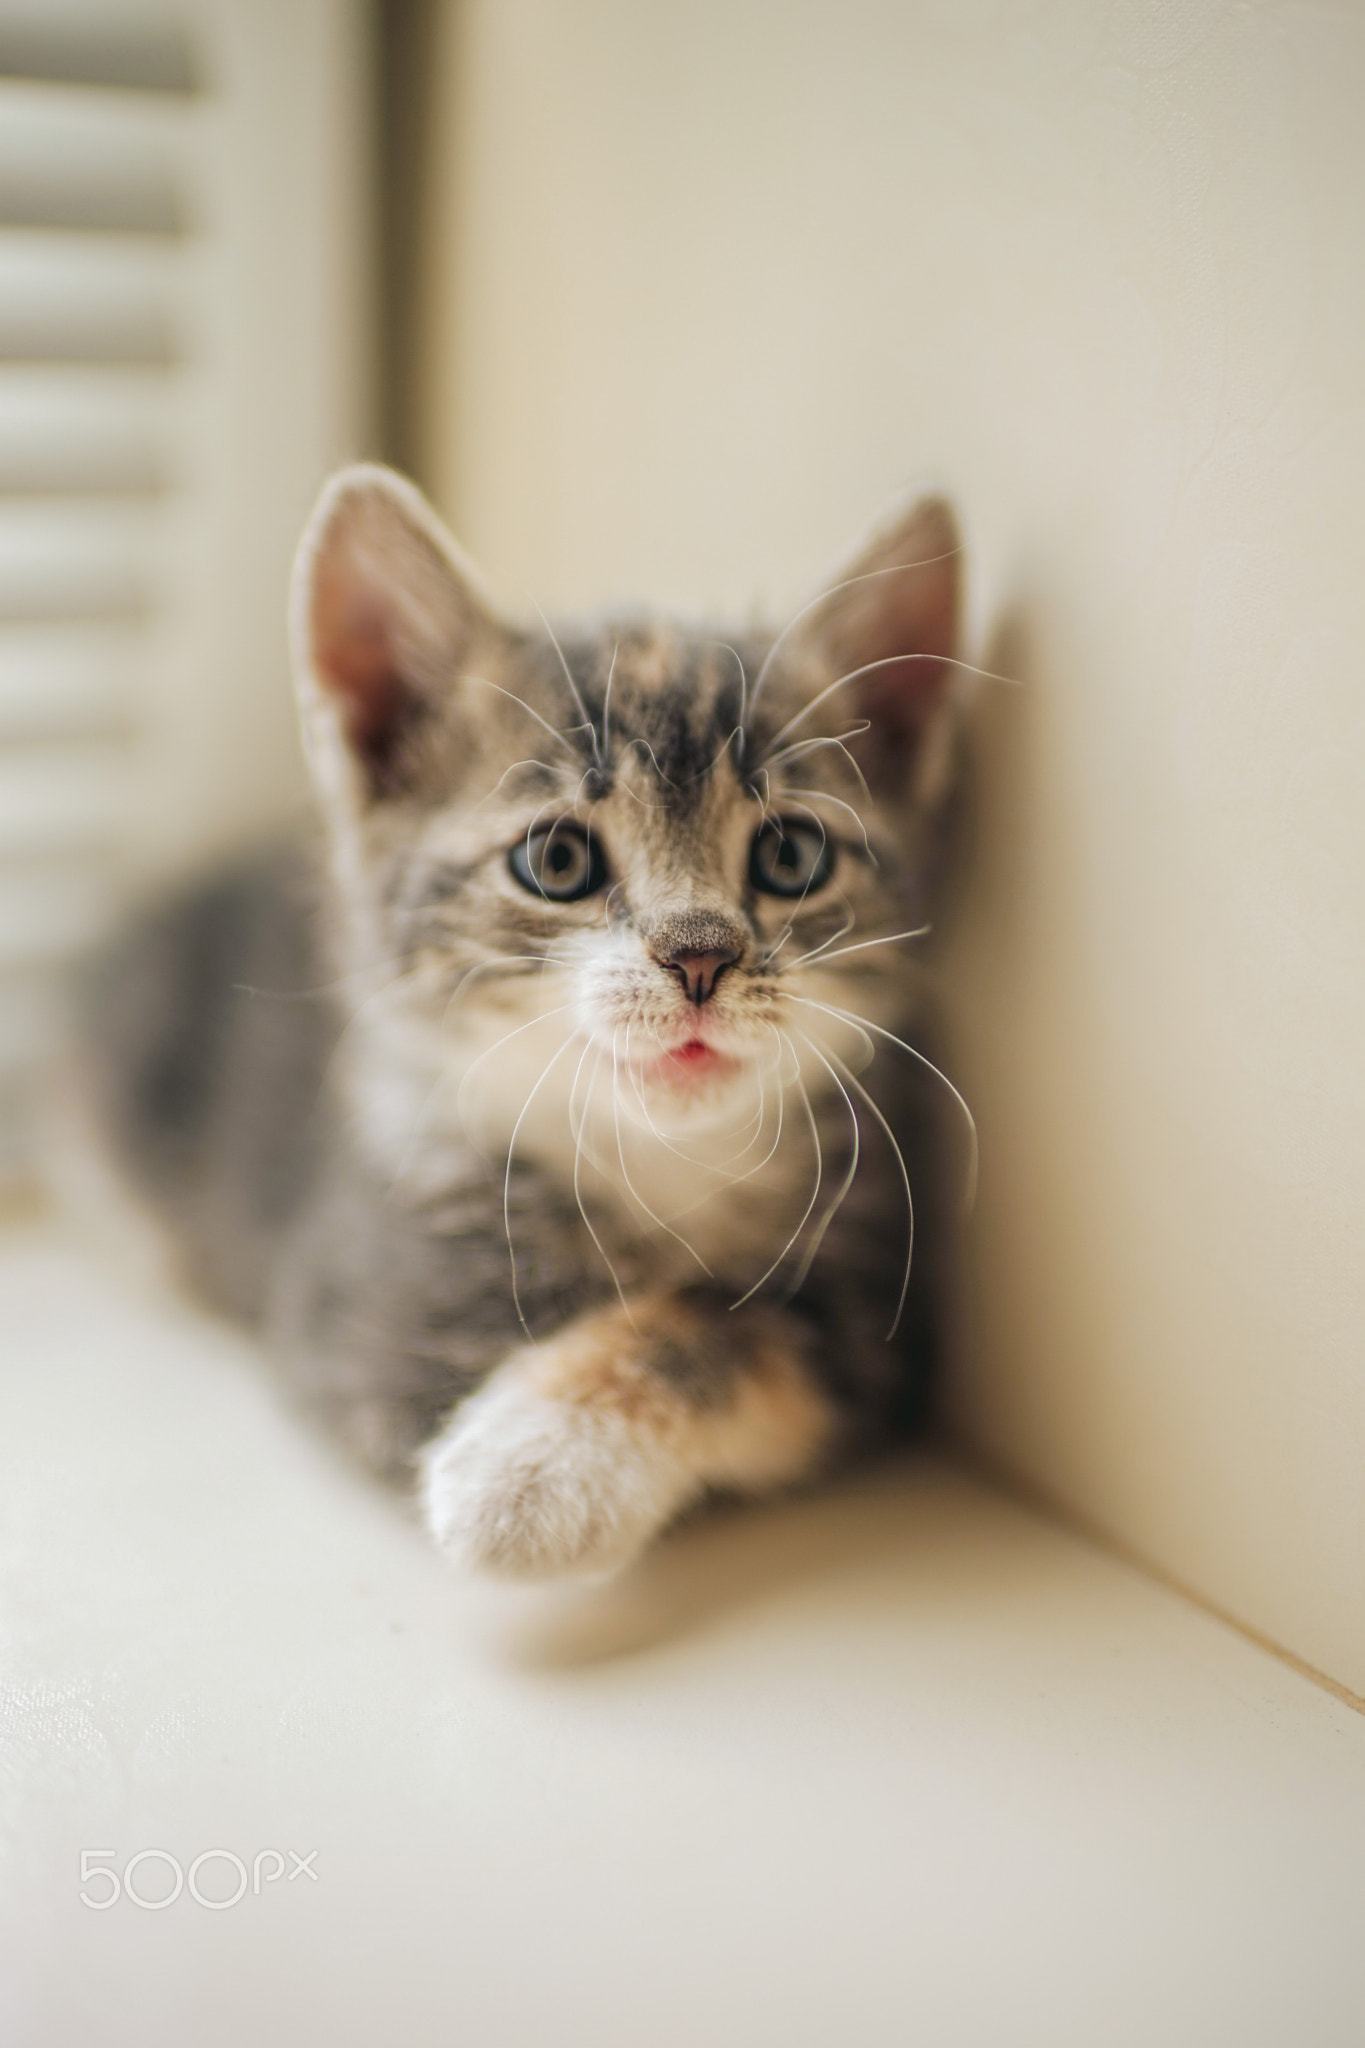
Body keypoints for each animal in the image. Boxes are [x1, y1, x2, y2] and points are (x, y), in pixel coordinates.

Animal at [90, 468, 965, 1581]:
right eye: (556, 861)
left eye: (791, 856)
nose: (700, 956)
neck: (663, 1161)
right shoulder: (371, 1315)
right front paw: (529, 1472)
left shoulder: (874, 1307)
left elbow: (722, 1326)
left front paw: (533, 1463)